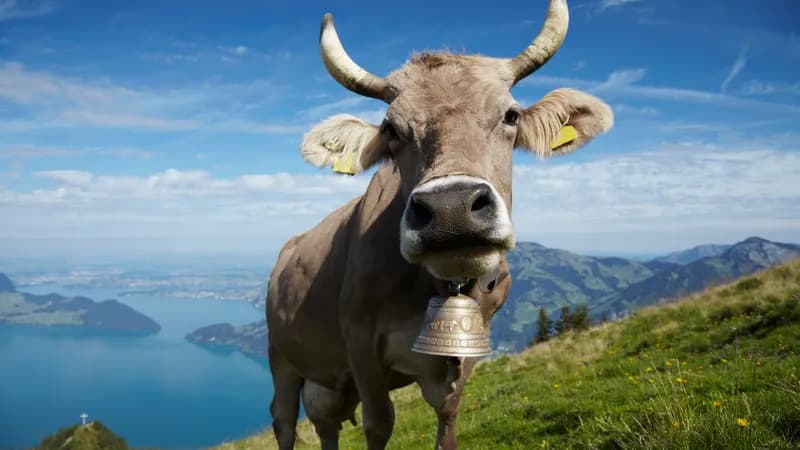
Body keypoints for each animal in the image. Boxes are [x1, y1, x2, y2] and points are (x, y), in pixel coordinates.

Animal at [265, 1, 613, 449]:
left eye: (511, 114)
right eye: (390, 129)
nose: (452, 209)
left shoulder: (467, 346)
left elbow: (448, 413)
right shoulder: (359, 342)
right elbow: (379, 423)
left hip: (328, 382)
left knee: (326, 423)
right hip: (281, 357)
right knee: (284, 421)